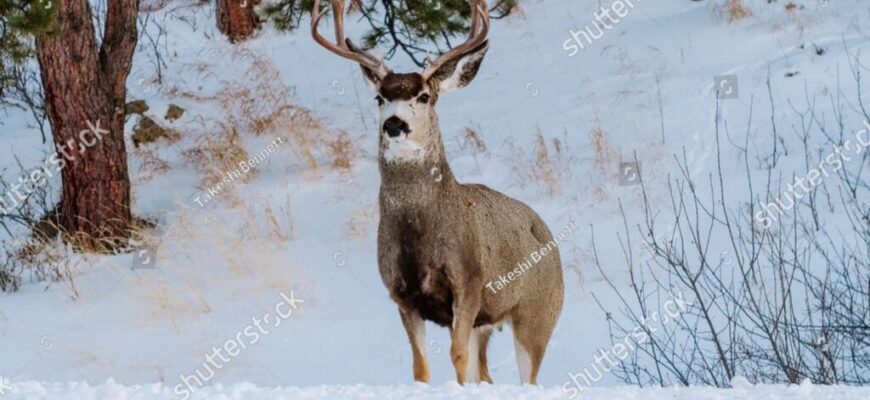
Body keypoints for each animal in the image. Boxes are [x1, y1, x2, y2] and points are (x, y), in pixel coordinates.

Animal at [312, 0, 565, 385]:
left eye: (424, 96)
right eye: (380, 97)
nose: (395, 124)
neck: (422, 235)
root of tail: (547, 233)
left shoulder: (469, 283)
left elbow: (457, 356)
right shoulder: (401, 294)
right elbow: (420, 368)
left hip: (537, 311)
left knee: (528, 377)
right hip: (487, 324)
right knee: (486, 374)